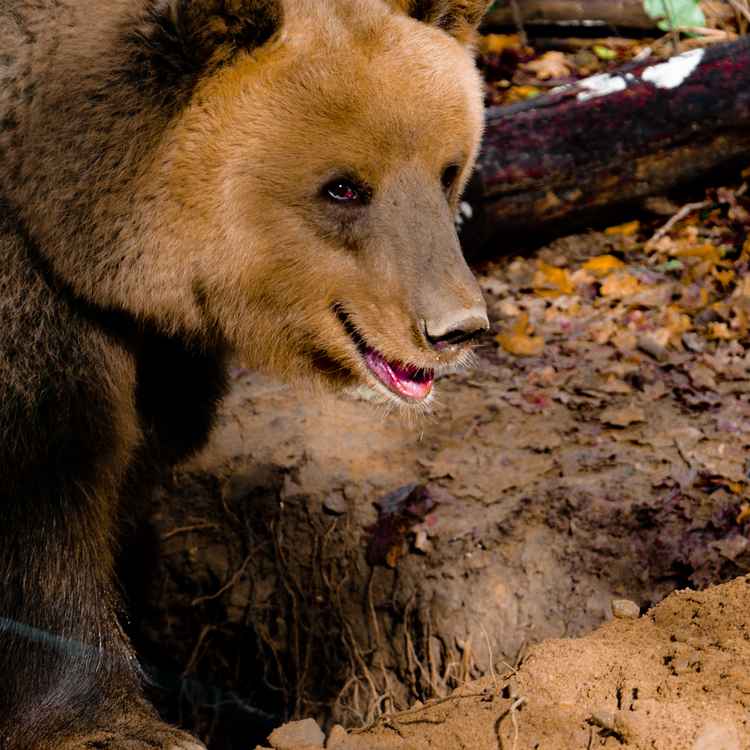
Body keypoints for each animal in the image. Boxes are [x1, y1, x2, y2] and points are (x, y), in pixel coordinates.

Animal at [0, 0, 491, 747]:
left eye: (446, 169)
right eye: (343, 187)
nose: (455, 327)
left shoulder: (158, 351)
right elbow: (51, 463)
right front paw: (111, 721)